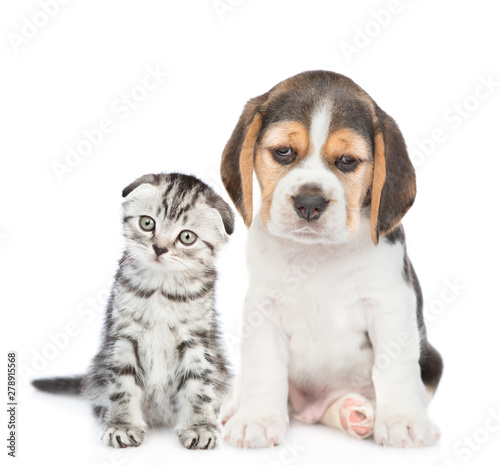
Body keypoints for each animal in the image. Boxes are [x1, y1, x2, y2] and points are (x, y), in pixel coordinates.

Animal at [32, 172, 234, 448]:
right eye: (147, 223)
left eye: (187, 237)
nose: (159, 248)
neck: (161, 288)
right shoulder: (123, 337)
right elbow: (122, 386)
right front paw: (122, 424)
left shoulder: (198, 340)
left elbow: (200, 385)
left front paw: (200, 425)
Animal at [219, 71, 442, 446]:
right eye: (283, 152)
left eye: (347, 161)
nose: (309, 202)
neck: (317, 253)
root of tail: (311, 406)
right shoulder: (263, 308)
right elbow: (264, 367)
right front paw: (258, 419)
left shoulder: (391, 305)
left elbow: (394, 368)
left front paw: (402, 421)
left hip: (432, 361)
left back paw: (356, 413)